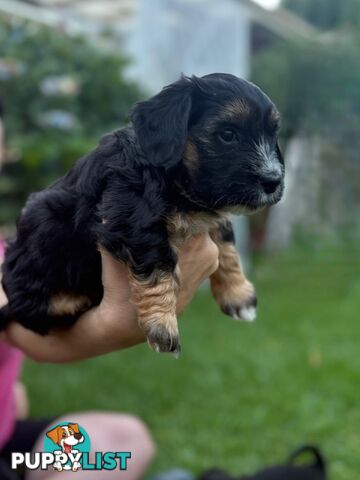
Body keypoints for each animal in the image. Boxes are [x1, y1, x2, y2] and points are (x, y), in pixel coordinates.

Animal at [0, 73, 284, 354]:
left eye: (273, 135)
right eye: (227, 134)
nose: (273, 181)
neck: (172, 176)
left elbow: (226, 245)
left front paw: (238, 294)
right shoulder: (132, 219)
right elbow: (158, 265)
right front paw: (163, 325)